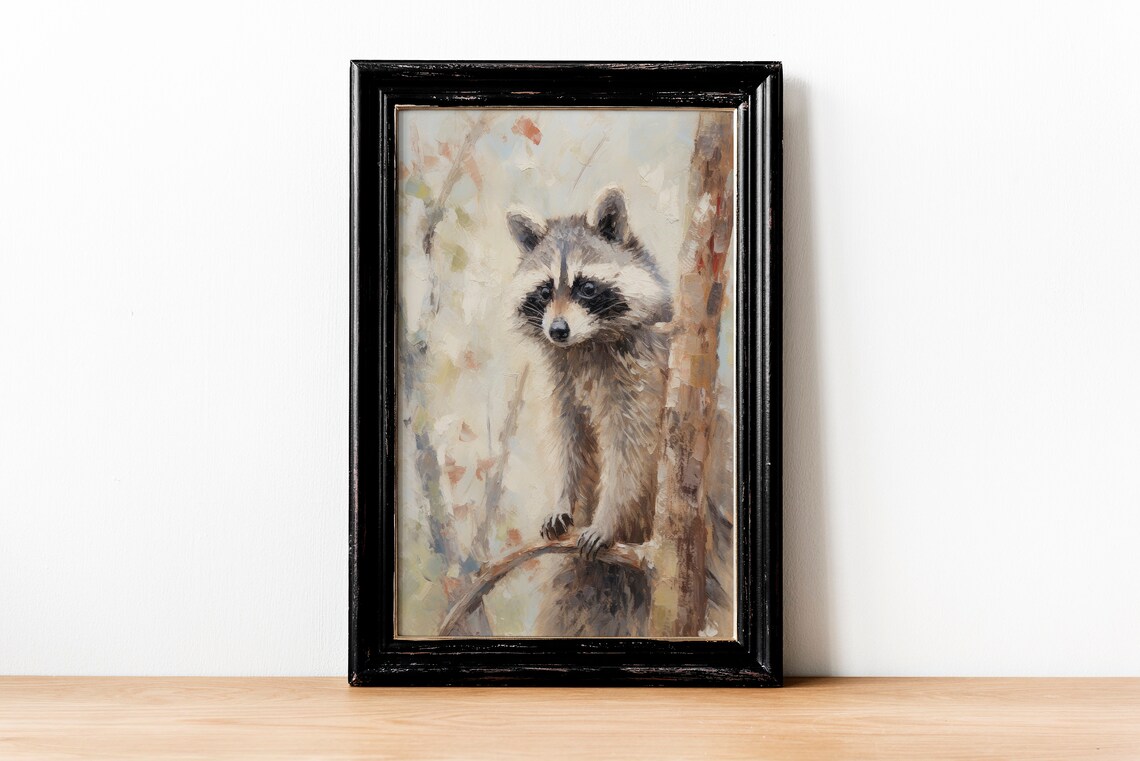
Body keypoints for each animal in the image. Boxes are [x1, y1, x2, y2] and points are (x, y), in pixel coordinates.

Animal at [506, 188, 673, 636]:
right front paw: (562, 497)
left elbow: (632, 448)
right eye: (545, 291)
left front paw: (608, 518)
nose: (557, 330)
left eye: (587, 288)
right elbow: (569, 439)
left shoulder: (643, 372)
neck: (585, 344)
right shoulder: (562, 381)